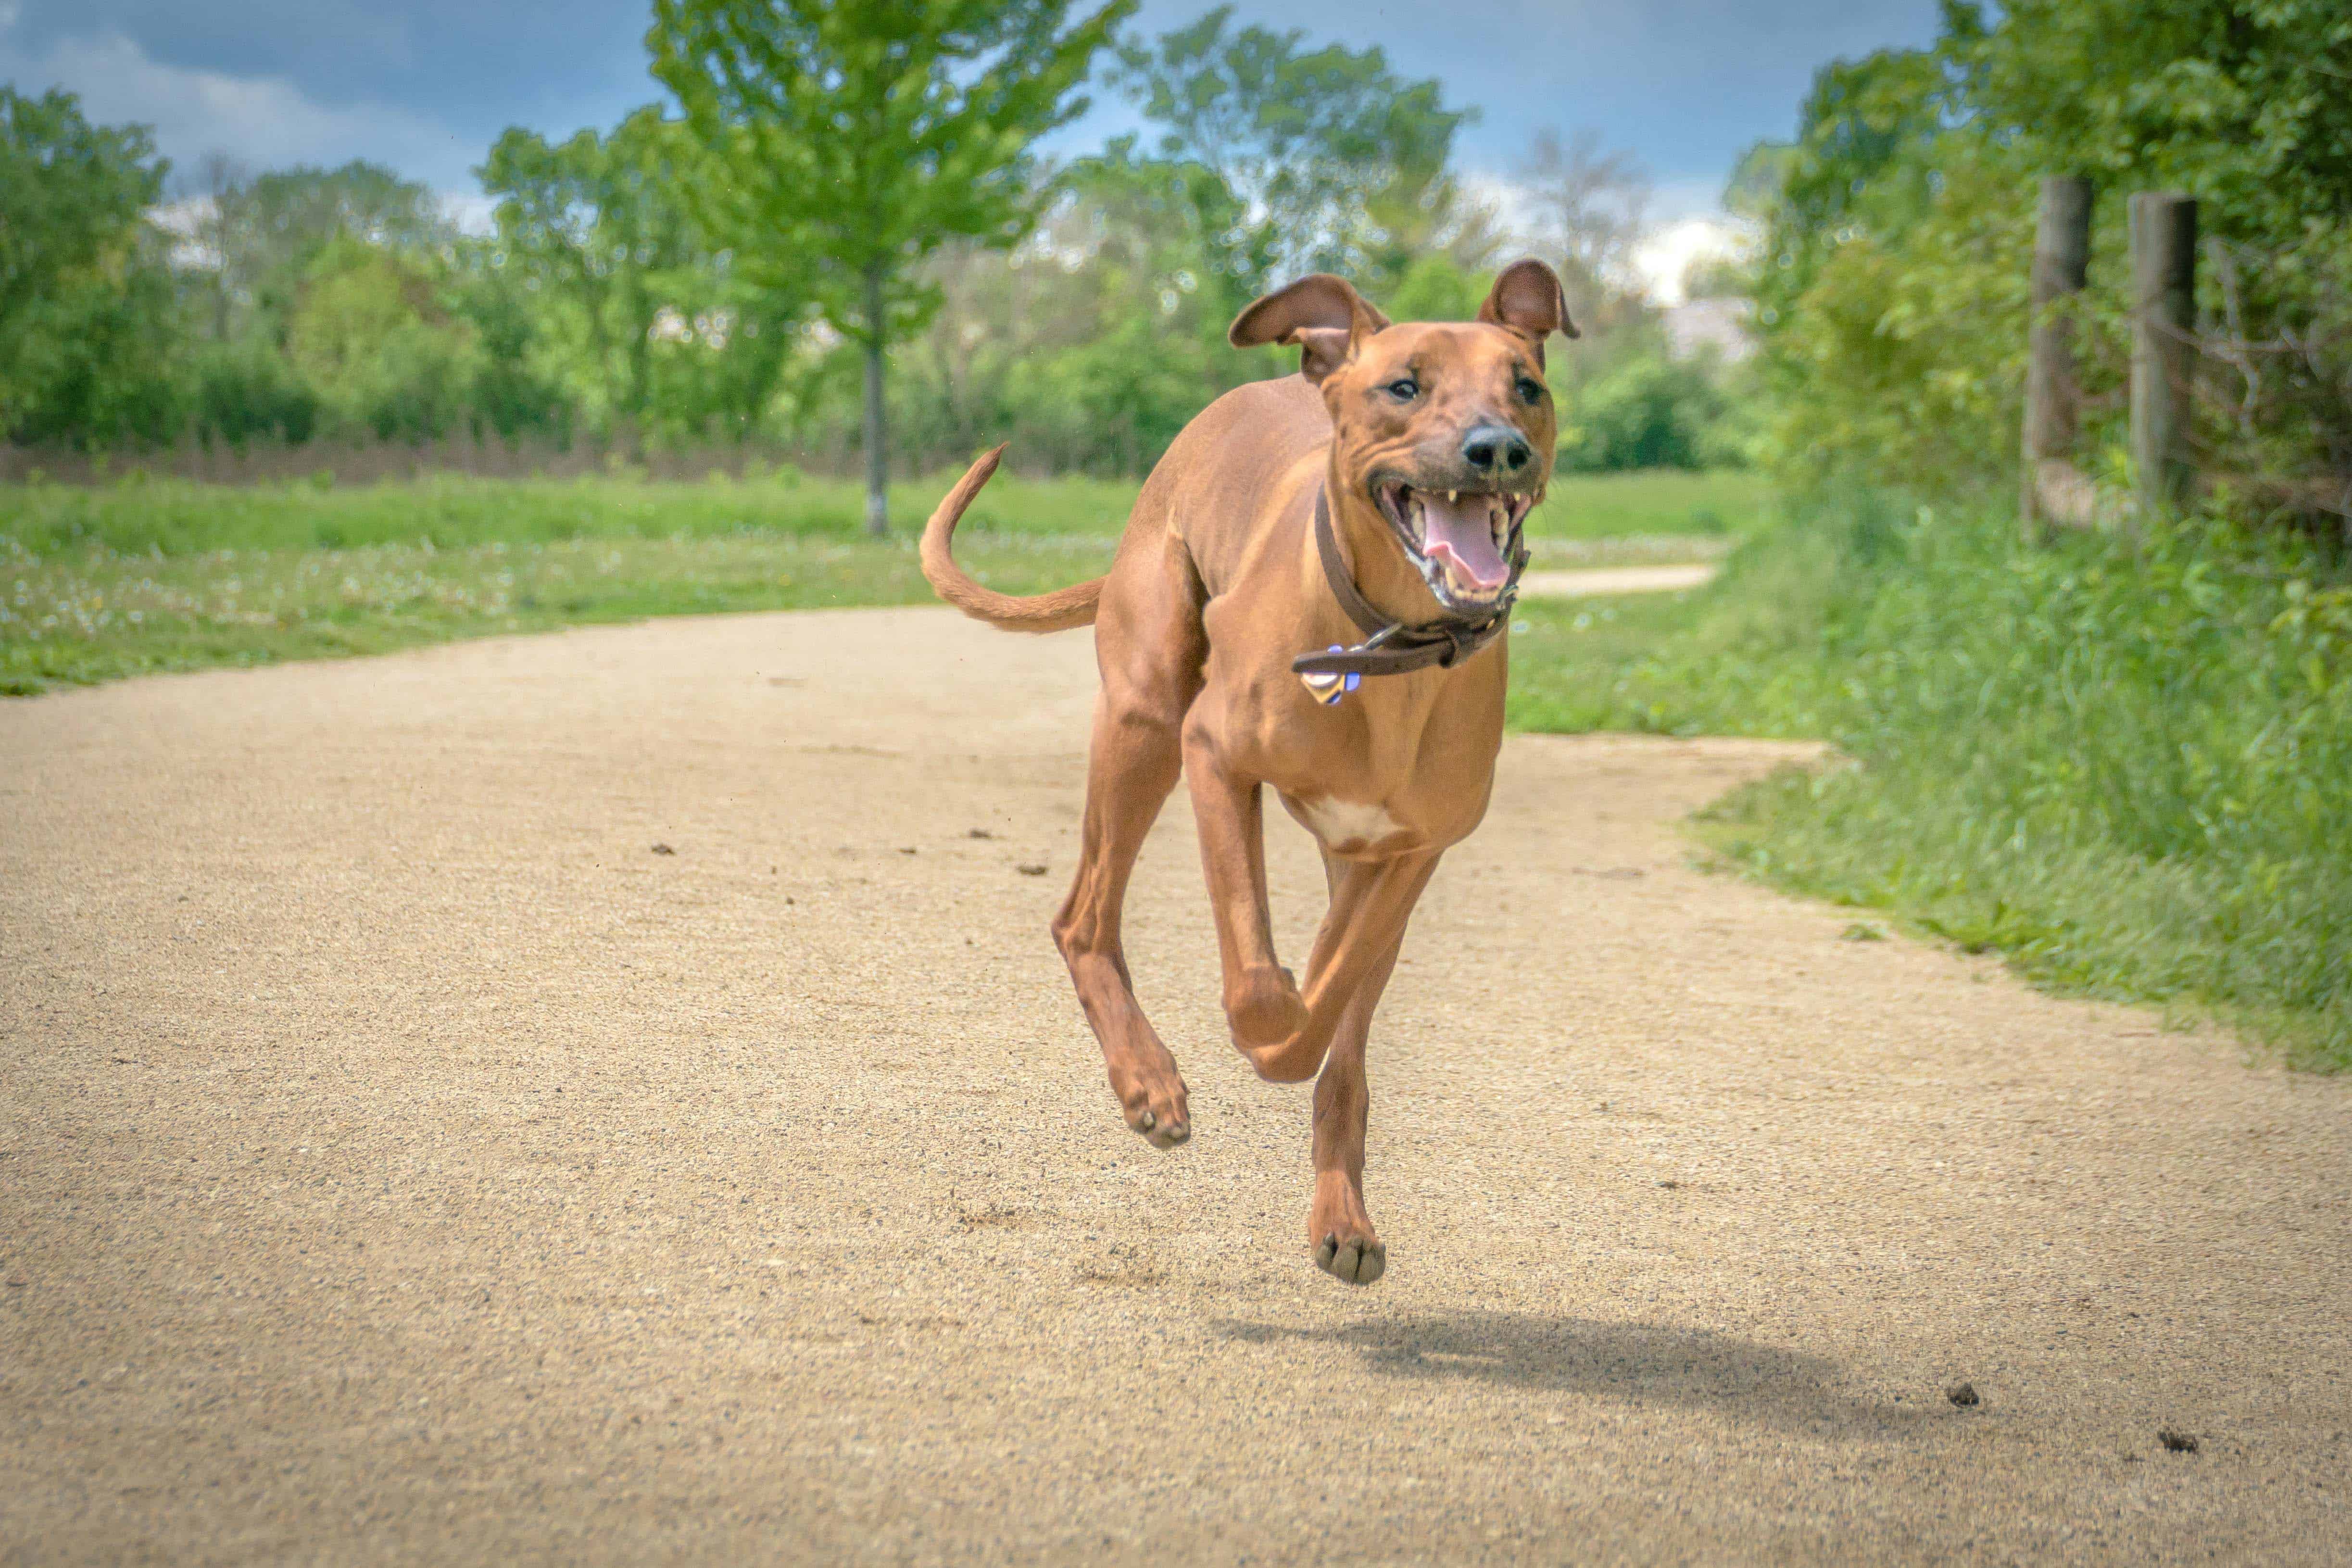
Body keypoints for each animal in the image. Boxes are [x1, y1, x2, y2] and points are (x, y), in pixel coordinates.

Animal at [927, 261, 1571, 1288]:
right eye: (1405, 386)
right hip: (1144, 718)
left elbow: (1337, 995)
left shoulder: (1412, 849)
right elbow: (1258, 969)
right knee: (1083, 917)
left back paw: (1341, 1208)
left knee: (1340, 1020)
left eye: (1528, 387)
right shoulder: (1214, 756)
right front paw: (1260, 1029)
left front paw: (1307, 1058)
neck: (1390, 643)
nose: (1498, 450)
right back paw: (1147, 1080)